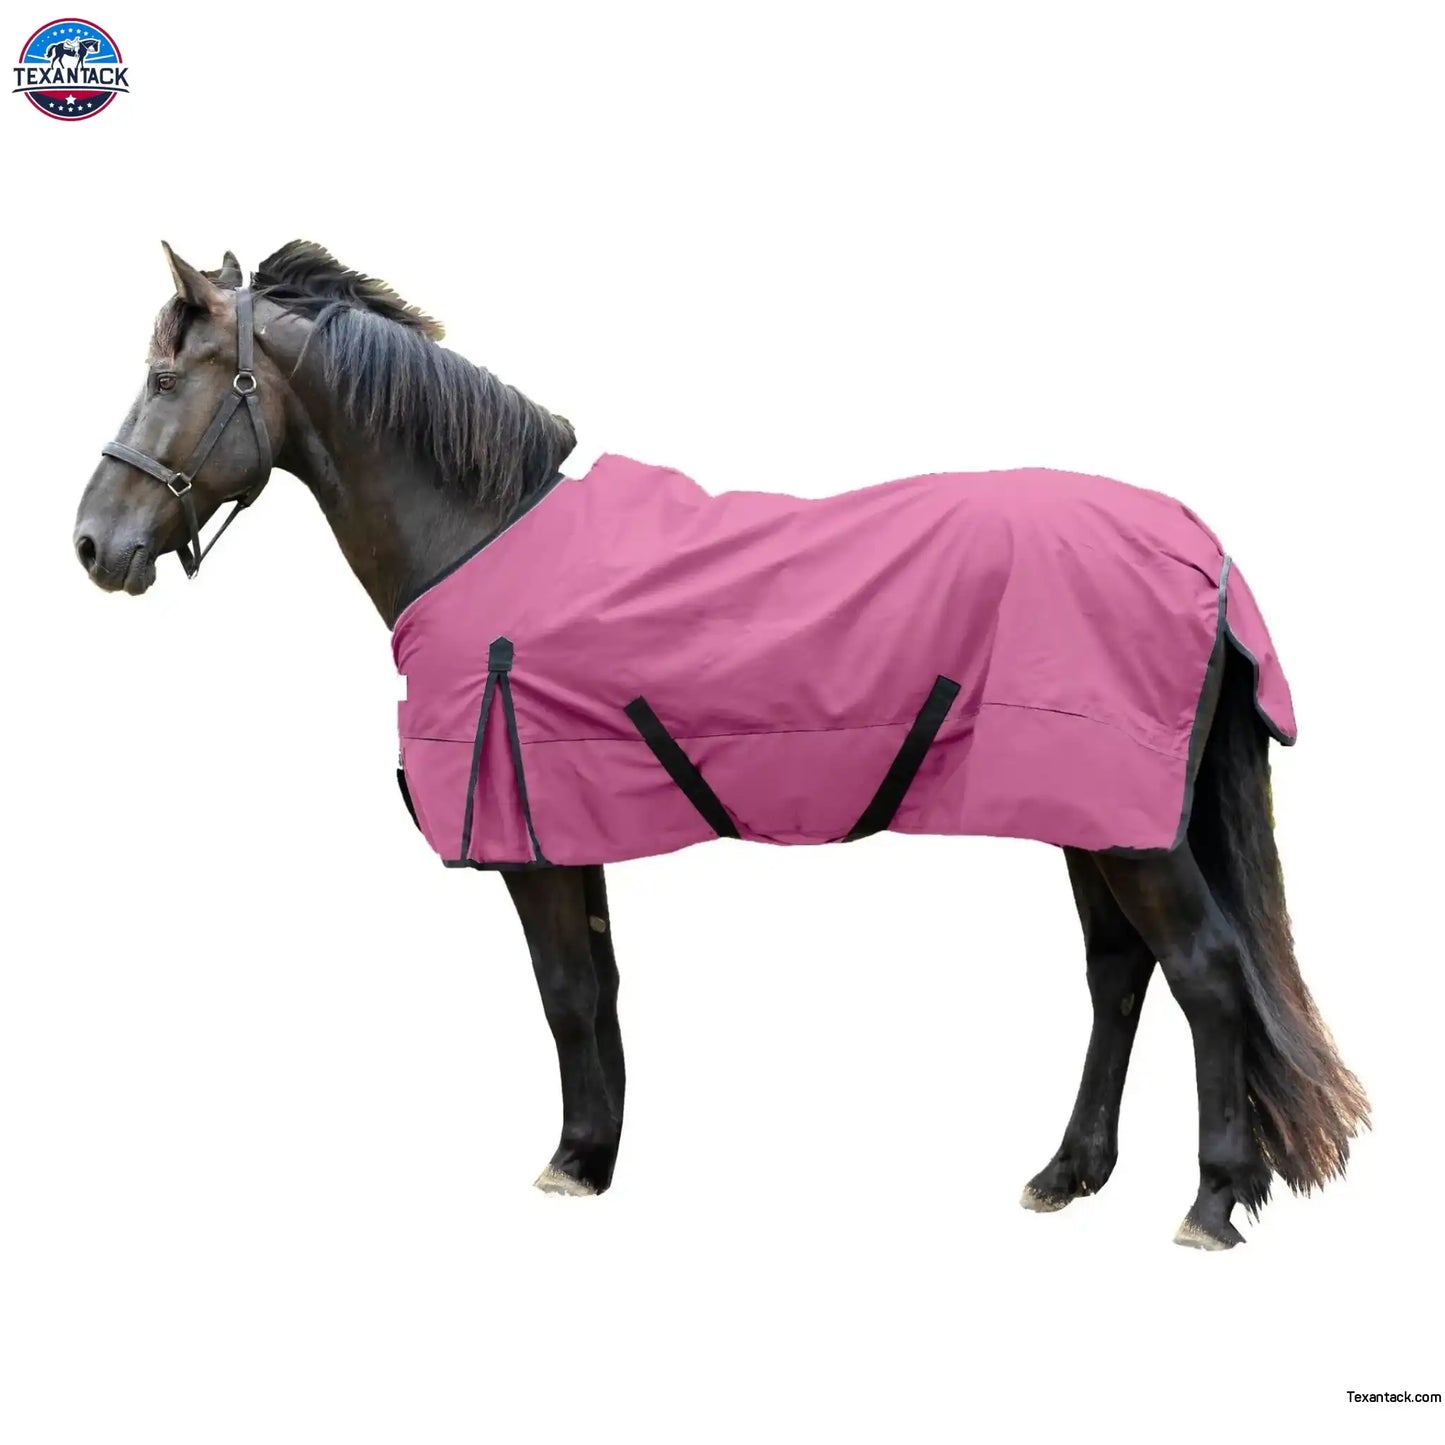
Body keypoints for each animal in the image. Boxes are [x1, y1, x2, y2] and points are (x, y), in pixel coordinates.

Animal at [72, 241, 1369, 1249]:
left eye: (165, 376)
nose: (91, 543)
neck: (481, 535)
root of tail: (1198, 545)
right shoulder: (569, 823)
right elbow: (595, 988)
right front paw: (594, 1152)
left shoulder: (530, 837)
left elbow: (563, 991)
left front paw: (569, 1160)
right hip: (1088, 816)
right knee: (1117, 975)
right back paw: (1067, 1174)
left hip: (1128, 831)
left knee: (1203, 973)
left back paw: (1208, 1201)